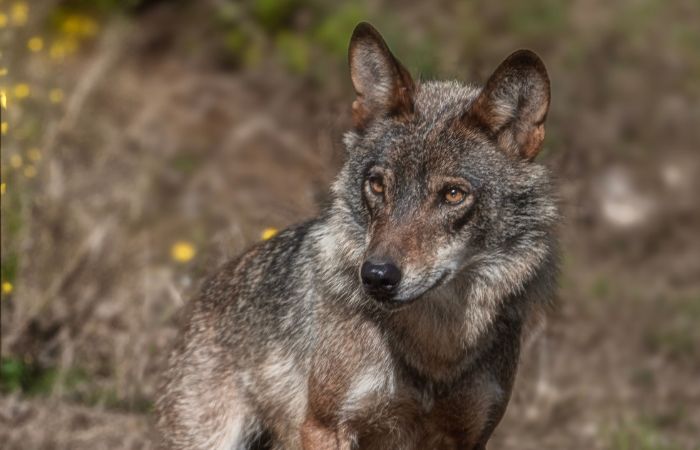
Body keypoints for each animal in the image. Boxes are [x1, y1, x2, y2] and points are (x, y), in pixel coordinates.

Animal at [156, 22, 558, 450]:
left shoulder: (469, 436)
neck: (435, 347)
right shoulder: (325, 425)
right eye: (378, 185)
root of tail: (201, 297)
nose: (377, 276)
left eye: (452, 194)